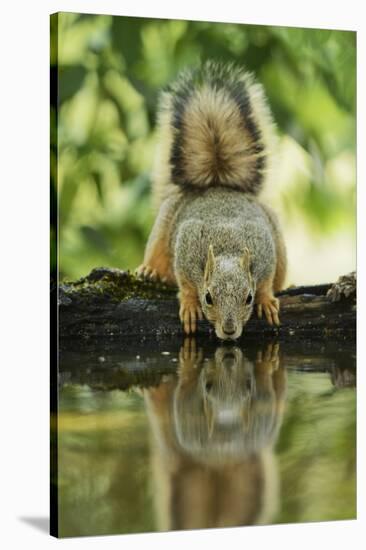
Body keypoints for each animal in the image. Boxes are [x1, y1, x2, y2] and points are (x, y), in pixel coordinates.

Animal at [136, 62, 288, 342]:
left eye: (248, 298)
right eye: (207, 297)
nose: (228, 330)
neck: (227, 246)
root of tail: (217, 184)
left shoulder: (265, 248)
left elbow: (265, 281)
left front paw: (266, 300)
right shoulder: (186, 246)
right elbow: (185, 283)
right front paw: (189, 305)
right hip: (164, 226)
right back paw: (150, 270)